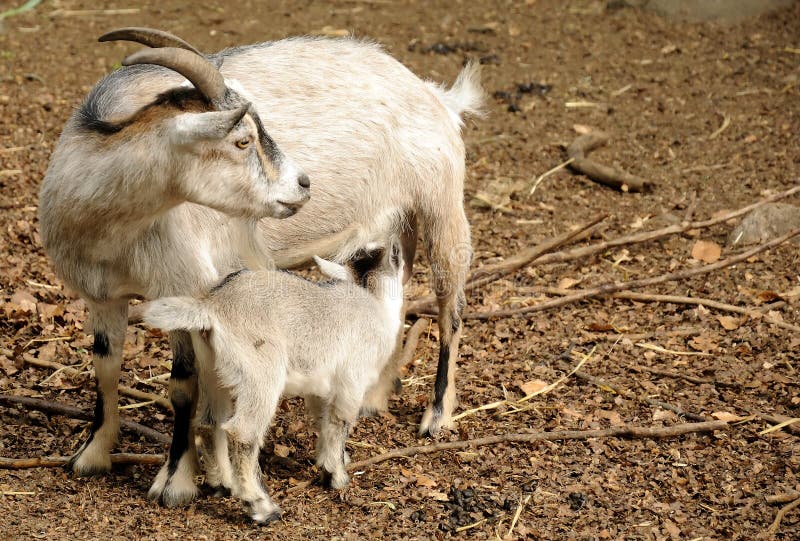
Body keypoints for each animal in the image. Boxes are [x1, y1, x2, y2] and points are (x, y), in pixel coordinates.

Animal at [143, 241, 405, 523]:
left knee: (209, 423)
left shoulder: (320, 387)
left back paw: (222, 484)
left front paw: (328, 462)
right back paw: (261, 507)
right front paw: (336, 476)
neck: (373, 302)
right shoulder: (352, 380)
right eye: (394, 257)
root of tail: (211, 308)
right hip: (260, 373)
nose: (397, 247)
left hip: (211, 369)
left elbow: (322, 420)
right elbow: (339, 422)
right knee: (242, 432)